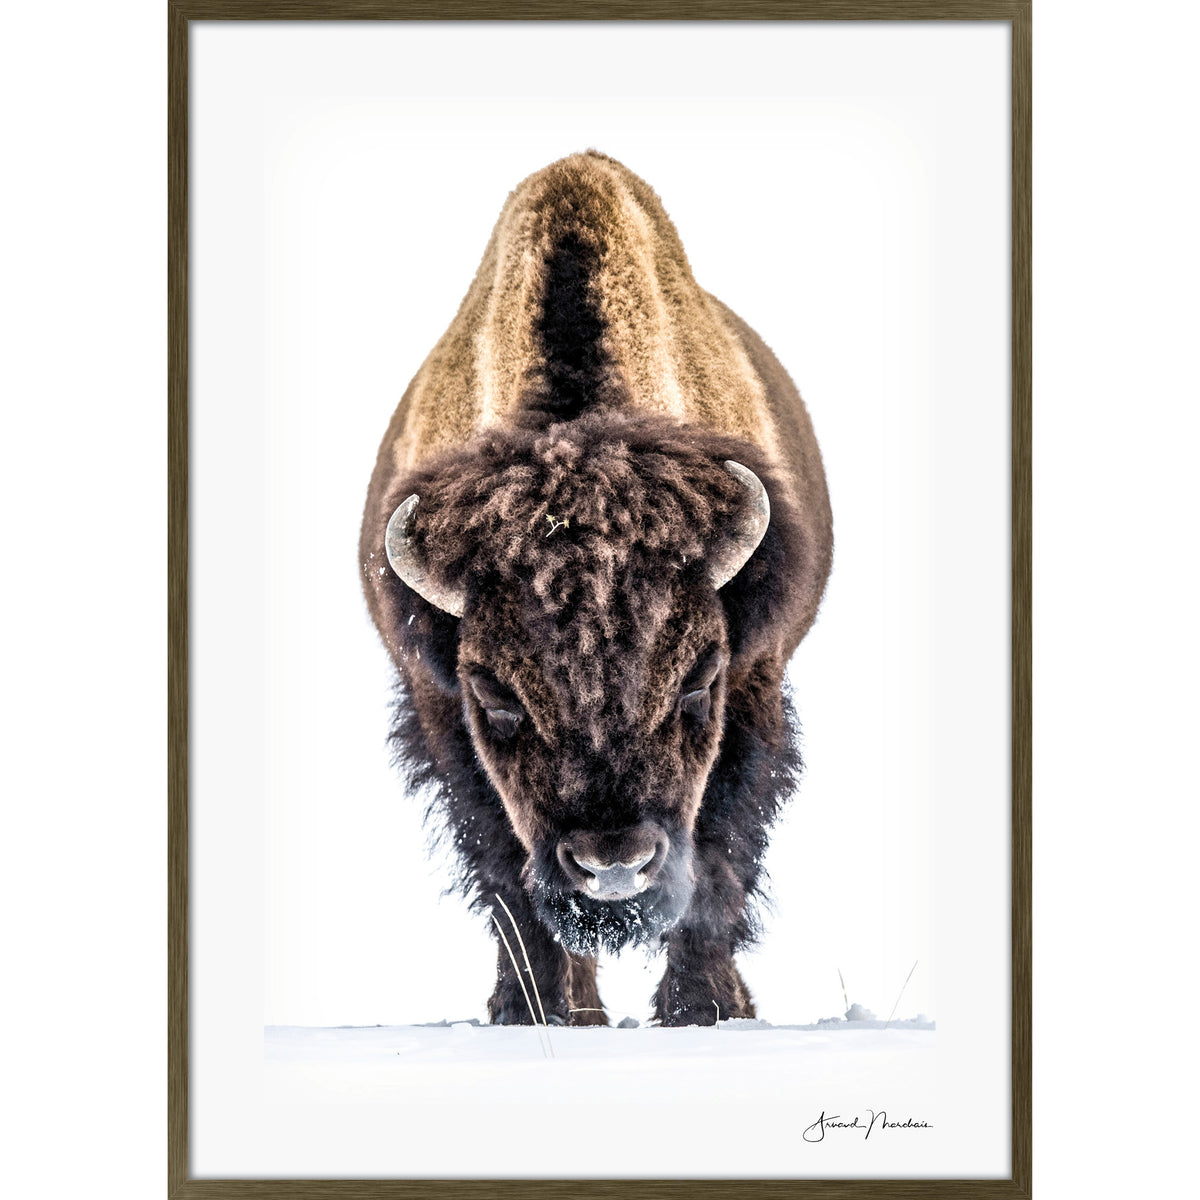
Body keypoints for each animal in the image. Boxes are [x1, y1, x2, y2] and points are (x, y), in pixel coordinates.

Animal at [360, 151, 832, 1027]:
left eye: (699, 680)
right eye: (496, 695)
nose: (613, 865)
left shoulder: (755, 681)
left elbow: (719, 856)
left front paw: (701, 1009)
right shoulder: (439, 709)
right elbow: (507, 875)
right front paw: (536, 1012)